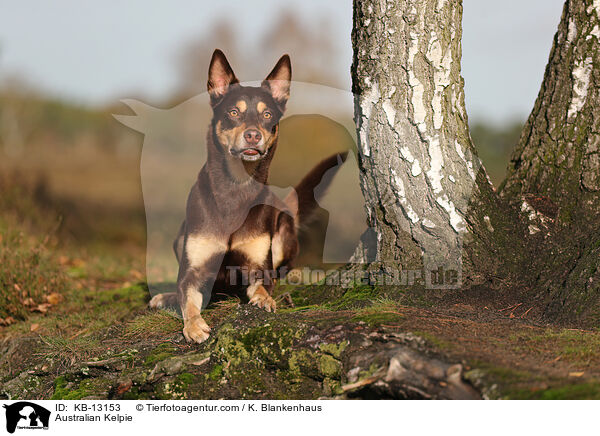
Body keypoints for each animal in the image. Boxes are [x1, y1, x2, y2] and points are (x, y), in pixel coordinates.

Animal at [149, 50, 344, 344]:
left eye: (267, 114)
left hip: (283, 231)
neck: (236, 189)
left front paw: (264, 300)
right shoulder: (193, 271)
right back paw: (165, 297)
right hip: (179, 238)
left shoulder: (257, 266)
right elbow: (188, 300)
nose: (253, 135)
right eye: (233, 112)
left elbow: (263, 285)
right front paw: (194, 326)